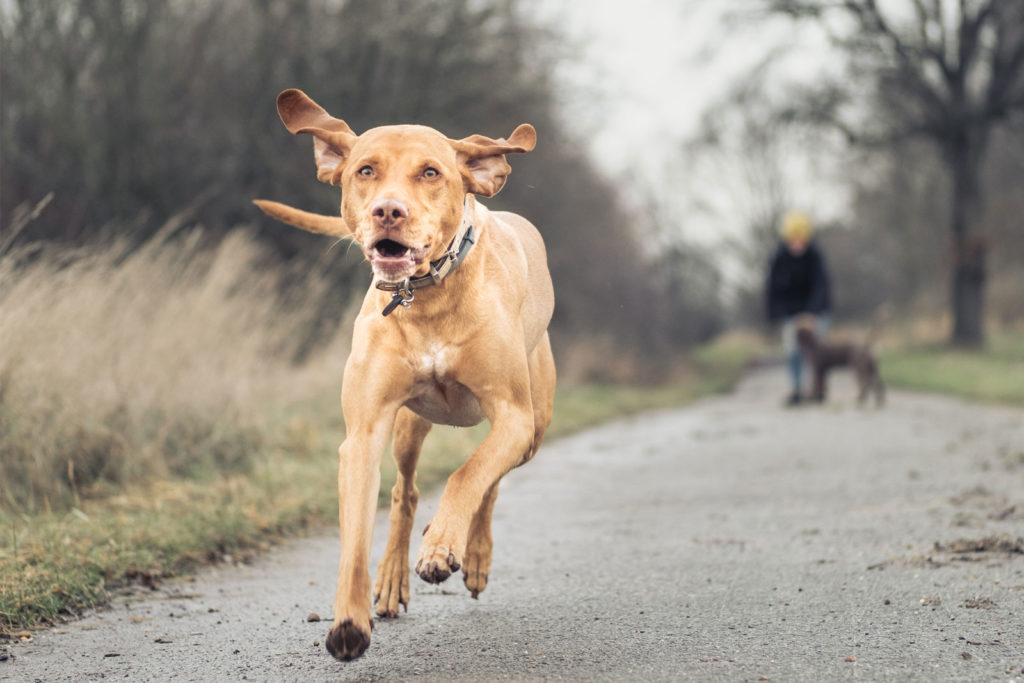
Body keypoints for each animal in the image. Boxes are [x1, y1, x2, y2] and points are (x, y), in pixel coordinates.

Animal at [258, 88, 561, 659]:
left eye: (430, 172)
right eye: (366, 170)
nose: (388, 211)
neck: (427, 298)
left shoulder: (513, 415)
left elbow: (469, 475)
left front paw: (442, 547)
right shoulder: (364, 432)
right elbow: (356, 535)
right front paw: (349, 620)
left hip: (535, 425)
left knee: (490, 480)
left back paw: (474, 555)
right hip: (408, 425)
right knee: (405, 493)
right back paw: (393, 578)